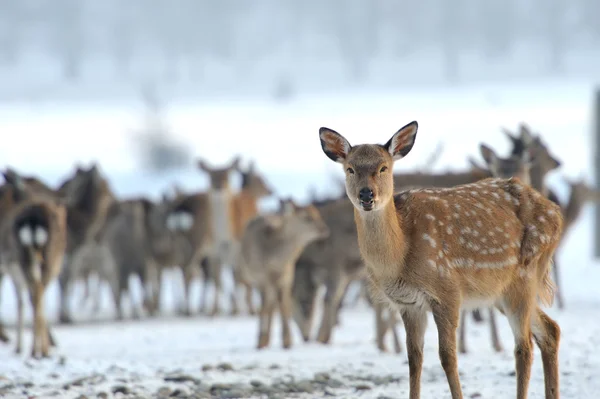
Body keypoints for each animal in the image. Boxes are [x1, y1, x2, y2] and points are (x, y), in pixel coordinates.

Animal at [237, 198, 328, 348]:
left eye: (317, 213)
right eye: (307, 217)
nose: (324, 229)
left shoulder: (287, 279)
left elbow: (284, 306)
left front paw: (287, 341)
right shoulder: (262, 280)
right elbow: (264, 308)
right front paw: (261, 341)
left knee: (273, 305)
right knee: (267, 306)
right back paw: (263, 339)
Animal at [322, 122, 564, 399]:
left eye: (384, 167)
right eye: (350, 169)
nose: (366, 194)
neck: (400, 257)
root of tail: (557, 213)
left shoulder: (448, 292)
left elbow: (448, 357)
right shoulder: (408, 303)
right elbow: (414, 358)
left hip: (524, 275)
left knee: (524, 347)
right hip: (501, 292)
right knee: (550, 330)